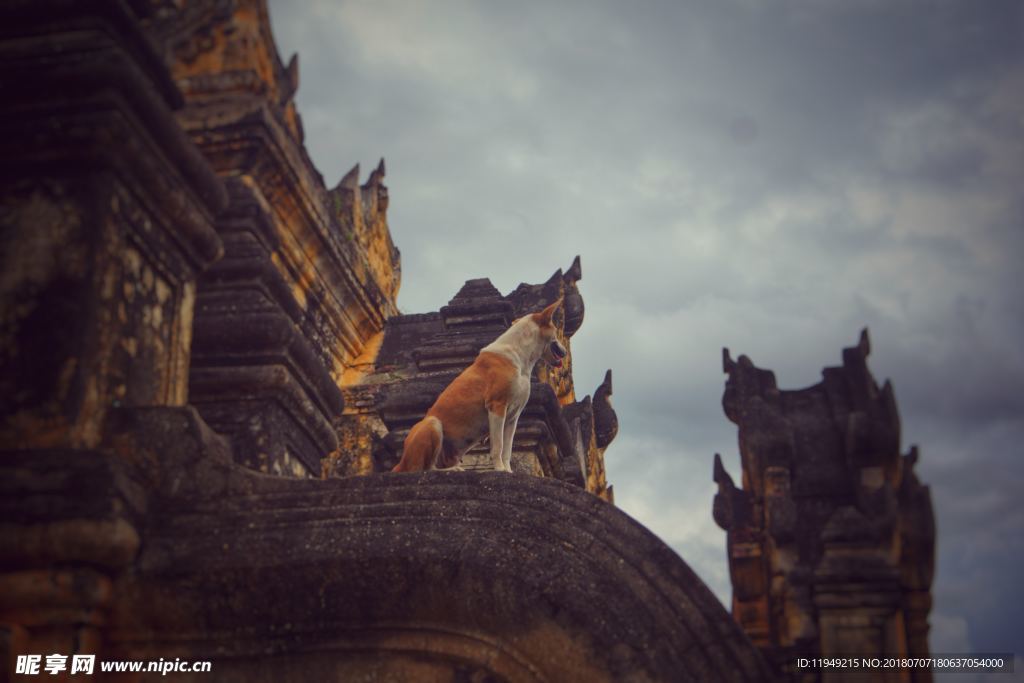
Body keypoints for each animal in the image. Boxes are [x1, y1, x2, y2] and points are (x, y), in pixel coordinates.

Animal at [391, 301, 569, 473]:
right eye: (556, 331)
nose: (565, 352)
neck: (519, 354)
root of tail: (400, 463)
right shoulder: (497, 407)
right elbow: (498, 445)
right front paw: (500, 470)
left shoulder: (513, 417)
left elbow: (508, 449)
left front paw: (508, 470)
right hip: (432, 424)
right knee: (425, 468)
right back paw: (453, 470)